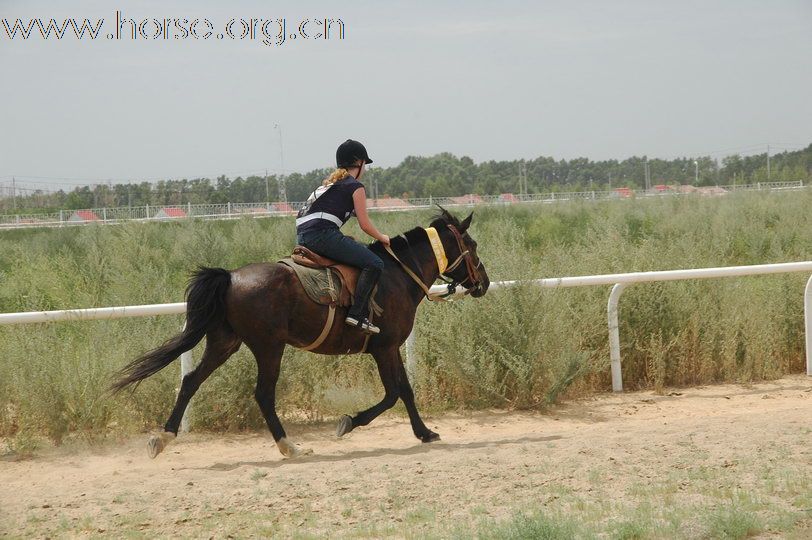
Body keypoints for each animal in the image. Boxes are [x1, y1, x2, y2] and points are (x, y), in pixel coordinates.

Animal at [111, 209, 492, 458]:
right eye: (472, 245)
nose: (484, 283)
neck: (398, 275)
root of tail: (230, 277)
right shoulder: (384, 348)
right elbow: (393, 394)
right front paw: (348, 422)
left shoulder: (391, 348)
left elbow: (406, 392)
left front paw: (424, 432)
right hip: (268, 347)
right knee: (263, 394)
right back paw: (289, 446)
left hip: (225, 342)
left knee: (190, 381)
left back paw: (163, 438)